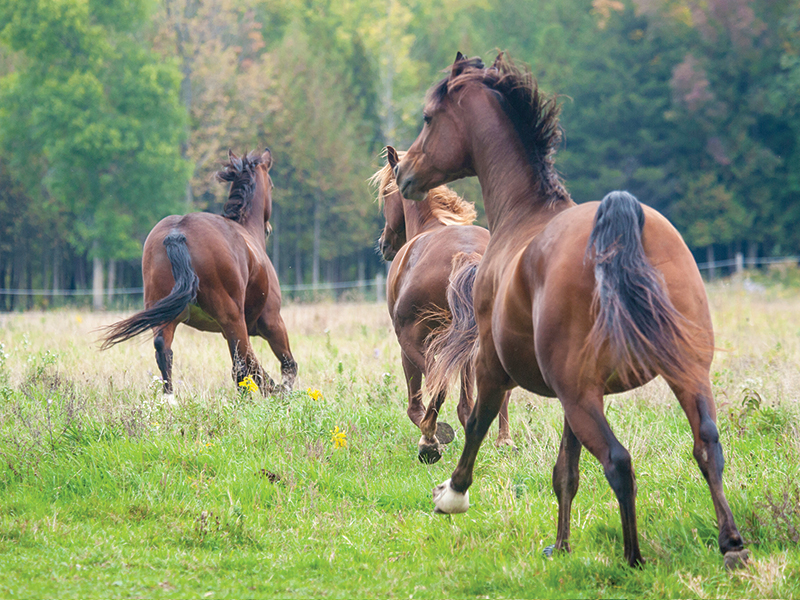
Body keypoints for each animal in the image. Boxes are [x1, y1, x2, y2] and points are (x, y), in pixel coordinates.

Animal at [101, 149, 297, 397]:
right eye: (271, 184)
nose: (269, 229)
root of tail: (177, 233)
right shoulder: (271, 322)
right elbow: (286, 365)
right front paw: (282, 392)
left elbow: (258, 367)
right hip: (233, 320)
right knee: (240, 366)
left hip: (167, 315)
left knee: (164, 351)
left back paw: (170, 399)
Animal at [371, 146, 512, 463]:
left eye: (386, 193)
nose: (384, 244)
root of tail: (468, 254)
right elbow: (466, 404)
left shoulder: (410, 347)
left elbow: (418, 402)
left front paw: (433, 437)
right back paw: (504, 440)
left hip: (415, 342)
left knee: (438, 386)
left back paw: (429, 441)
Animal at [394, 52, 748, 569]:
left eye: (427, 118)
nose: (405, 174)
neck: (523, 214)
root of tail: (619, 225)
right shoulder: (567, 394)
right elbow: (566, 470)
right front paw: (559, 545)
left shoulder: (494, 367)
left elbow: (478, 423)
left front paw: (451, 495)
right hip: (681, 374)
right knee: (706, 446)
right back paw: (732, 545)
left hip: (585, 395)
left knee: (619, 462)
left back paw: (633, 558)